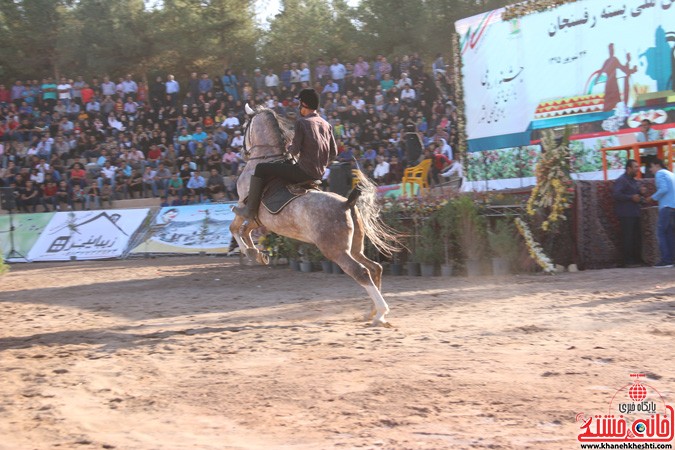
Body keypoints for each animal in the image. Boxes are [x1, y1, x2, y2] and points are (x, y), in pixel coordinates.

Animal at [231, 103, 402, 326]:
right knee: (375, 268)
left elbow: (235, 228)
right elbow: (245, 231)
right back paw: (371, 312)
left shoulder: (244, 208)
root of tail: (347, 203)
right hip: (354, 248)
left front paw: (250, 251)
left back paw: (380, 313)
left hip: (336, 251)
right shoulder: (259, 219)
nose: (242, 152)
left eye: (244, 127)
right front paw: (257, 254)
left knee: (362, 272)